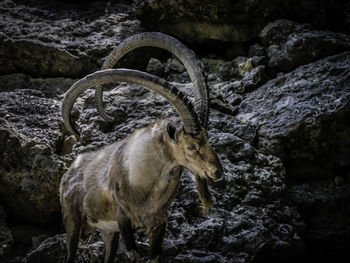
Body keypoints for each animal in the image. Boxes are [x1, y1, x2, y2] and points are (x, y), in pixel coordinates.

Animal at [59, 32, 224, 262]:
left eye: (207, 138)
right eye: (191, 146)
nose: (217, 171)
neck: (144, 183)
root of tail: (69, 172)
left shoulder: (158, 226)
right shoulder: (124, 222)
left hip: (108, 233)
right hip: (72, 223)